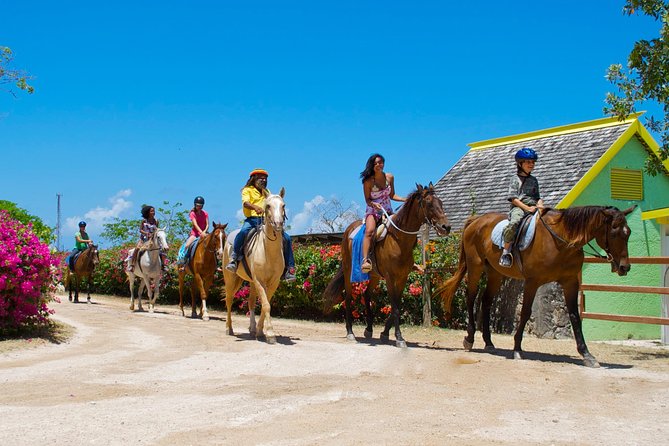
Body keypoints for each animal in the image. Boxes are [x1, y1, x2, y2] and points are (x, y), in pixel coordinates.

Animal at [223, 188, 287, 344]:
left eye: (283, 205)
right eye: (268, 205)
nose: (278, 224)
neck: (268, 251)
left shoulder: (273, 282)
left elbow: (265, 305)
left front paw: (260, 331)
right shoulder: (259, 280)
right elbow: (266, 305)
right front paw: (270, 334)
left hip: (251, 282)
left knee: (250, 302)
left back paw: (252, 329)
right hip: (230, 279)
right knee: (229, 300)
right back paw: (229, 329)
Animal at [323, 183, 451, 347]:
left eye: (440, 202)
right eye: (429, 204)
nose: (446, 227)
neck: (398, 240)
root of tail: (347, 231)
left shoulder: (402, 277)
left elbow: (396, 306)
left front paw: (384, 333)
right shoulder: (390, 277)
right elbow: (395, 307)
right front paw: (399, 338)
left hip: (374, 275)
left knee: (366, 295)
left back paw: (369, 329)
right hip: (348, 271)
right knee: (348, 298)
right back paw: (350, 332)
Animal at [436, 205, 636, 368]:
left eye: (629, 233)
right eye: (614, 232)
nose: (624, 267)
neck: (561, 241)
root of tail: (476, 220)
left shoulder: (570, 282)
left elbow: (574, 316)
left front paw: (587, 354)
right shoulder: (533, 281)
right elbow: (525, 313)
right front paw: (517, 348)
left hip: (495, 273)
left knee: (486, 302)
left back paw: (489, 342)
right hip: (475, 267)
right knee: (471, 298)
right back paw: (469, 339)